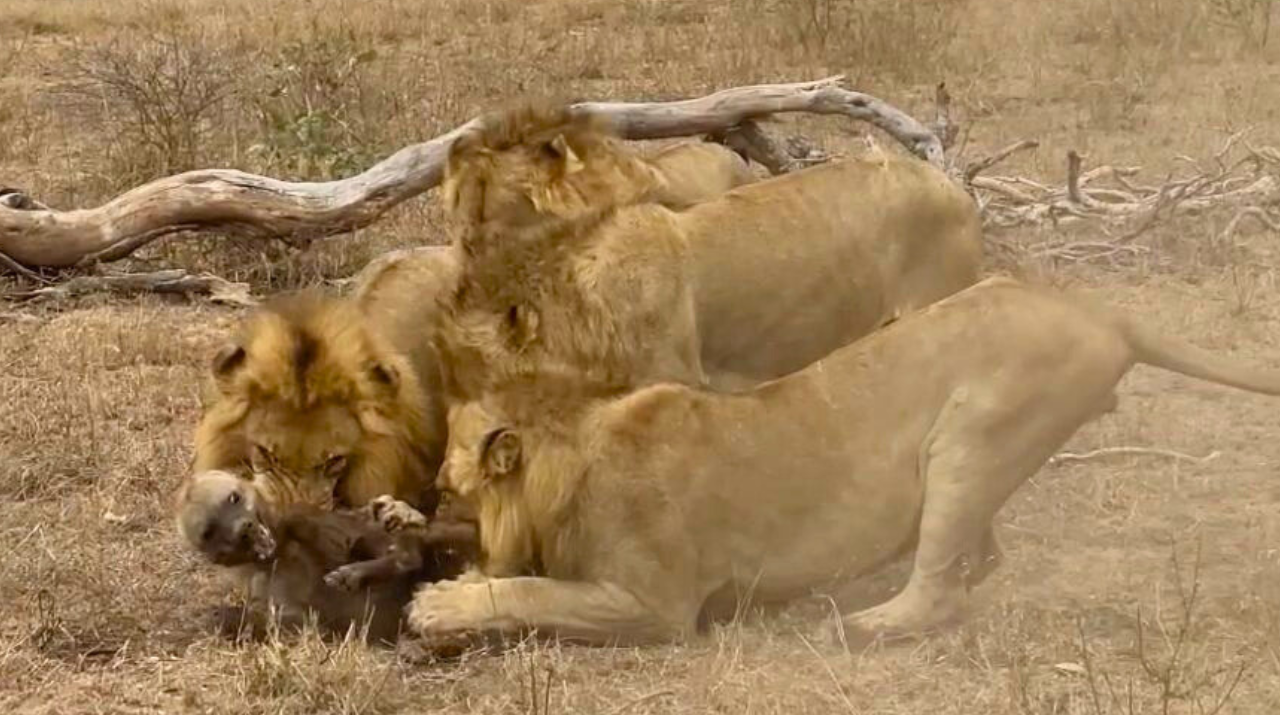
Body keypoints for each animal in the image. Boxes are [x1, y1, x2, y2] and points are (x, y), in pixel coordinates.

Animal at [405, 277, 1280, 646]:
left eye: (446, 485)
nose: (418, 514)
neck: (573, 442)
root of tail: (1103, 313)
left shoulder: (655, 603)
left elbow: (532, 590)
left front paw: (441, 604)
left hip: (972, 433)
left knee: (941, 589)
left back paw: (865, 623)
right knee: (980, 560)